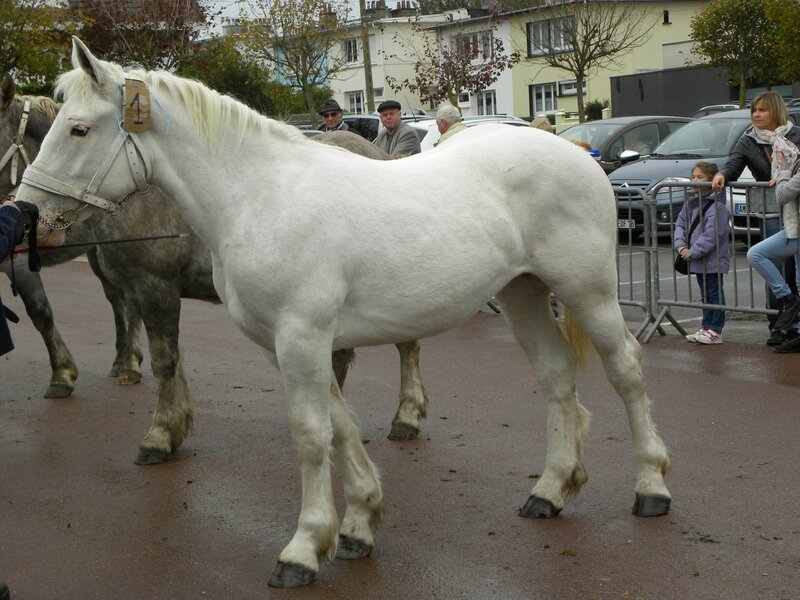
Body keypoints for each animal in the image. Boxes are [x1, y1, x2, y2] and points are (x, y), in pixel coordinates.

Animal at [17, 39, 668, 588]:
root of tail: (575, 152)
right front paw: (359, 524)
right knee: (556, 378)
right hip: (523, 293)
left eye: (78, 129)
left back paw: (652, 487)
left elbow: (311, 436)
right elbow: (341, 424)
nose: (28, 215)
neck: (260, 198)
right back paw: (551, 491)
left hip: (588, 291)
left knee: (627, 372)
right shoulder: (290, 345)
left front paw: (303, 549)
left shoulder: (300, 339)